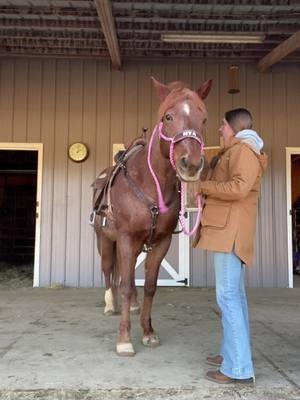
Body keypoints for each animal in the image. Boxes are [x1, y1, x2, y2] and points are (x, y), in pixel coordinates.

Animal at [92, 78, 212, 356]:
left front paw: (148, 332)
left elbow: (149, 286)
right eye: (168, 116)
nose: (191, 163)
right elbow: (126, 285)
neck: (150, 183)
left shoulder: (161, 242)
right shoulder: (126, 238)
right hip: (105, 239)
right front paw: (124, 339)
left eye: (203, 119)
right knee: (108, 269)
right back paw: (109, 304)